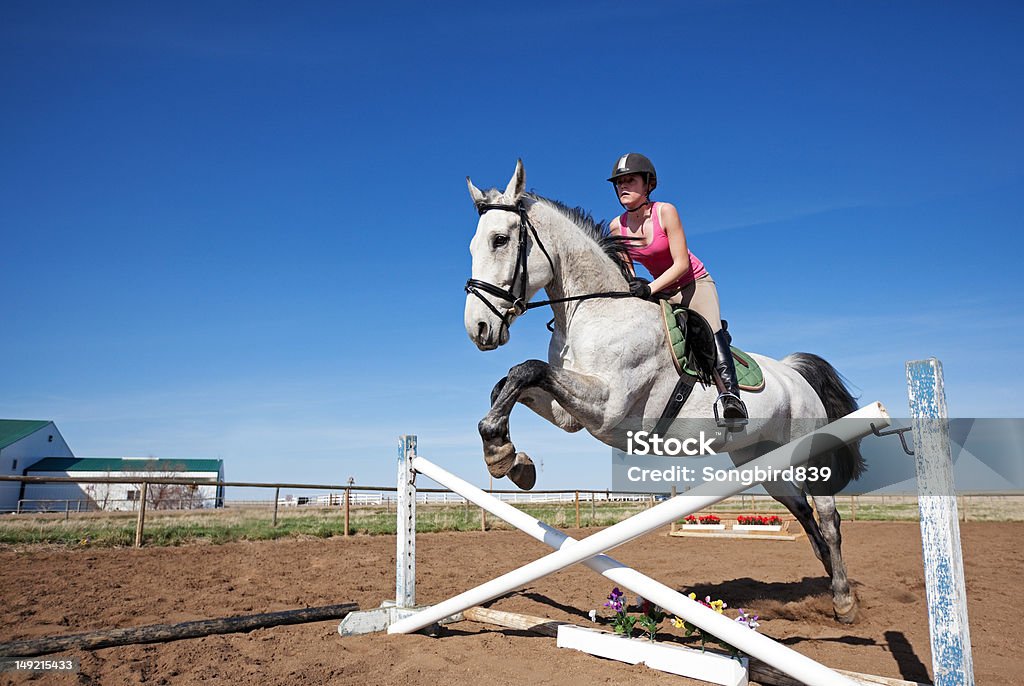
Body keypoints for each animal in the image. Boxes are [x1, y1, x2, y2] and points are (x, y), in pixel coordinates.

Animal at [468, 161, 868, 622]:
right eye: (473, 245)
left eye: (500, 240)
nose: (478, 328)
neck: (595, 310)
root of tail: (793, 372)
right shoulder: (570, 412)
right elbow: (512, 379)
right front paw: (510, 458)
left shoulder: (606, 406)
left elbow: (526, 369)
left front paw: (502, 452)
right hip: (763, 462)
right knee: (804, 514)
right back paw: (830, 584)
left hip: (807, 454)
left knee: (828, 518)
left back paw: (844, 601)